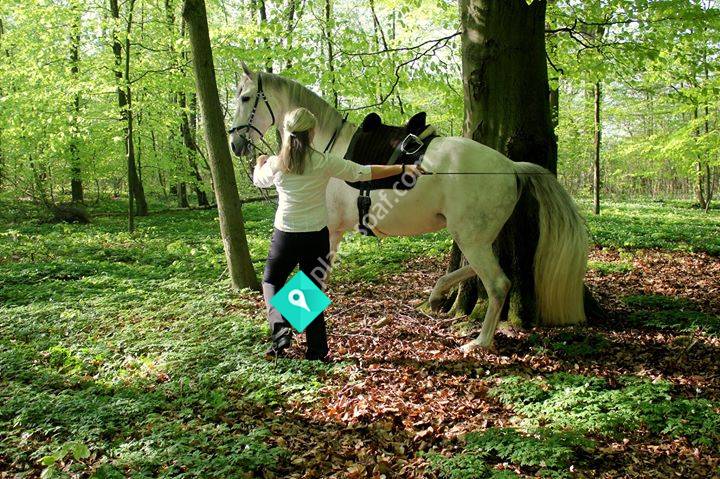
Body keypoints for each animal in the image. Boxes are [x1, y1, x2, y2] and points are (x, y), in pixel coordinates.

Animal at [228, 64, 588, 352]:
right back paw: (437, 295)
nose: (235, 143)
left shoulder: (328, 231)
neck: (324, 151)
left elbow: (314, 279)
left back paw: (479, 342)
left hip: (471, 238)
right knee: (488, 272)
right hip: (475, 236)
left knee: (498, 283)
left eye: (245, 98)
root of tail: (511, 167)